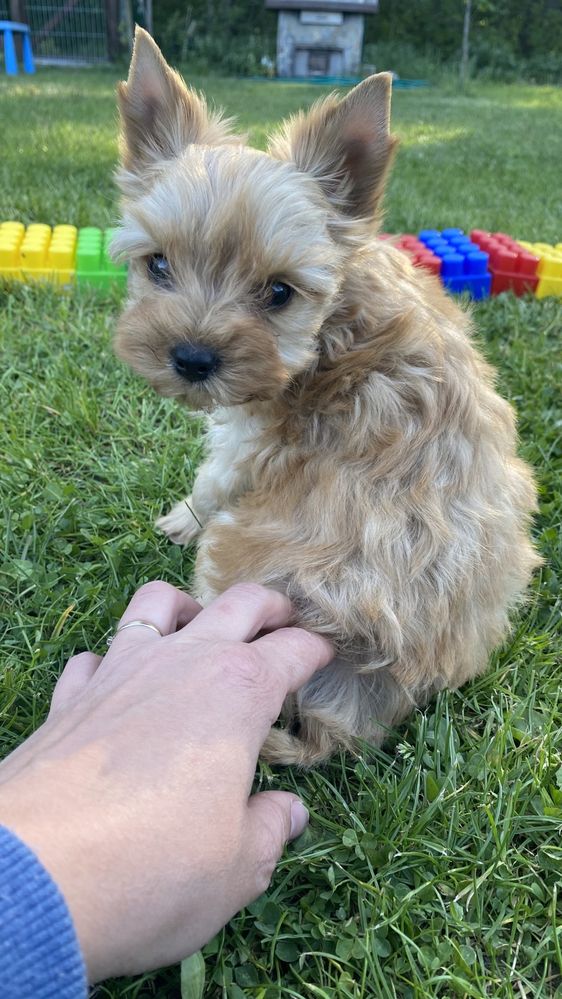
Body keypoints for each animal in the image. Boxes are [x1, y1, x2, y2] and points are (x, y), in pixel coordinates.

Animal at [115, 29, 540, 764]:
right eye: (157, 265)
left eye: (279, 292)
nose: (193, 360)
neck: (339, 319)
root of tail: (348, 709)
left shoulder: (250, 442)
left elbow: (211, 480)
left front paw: (179, 518)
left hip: (237, 554)